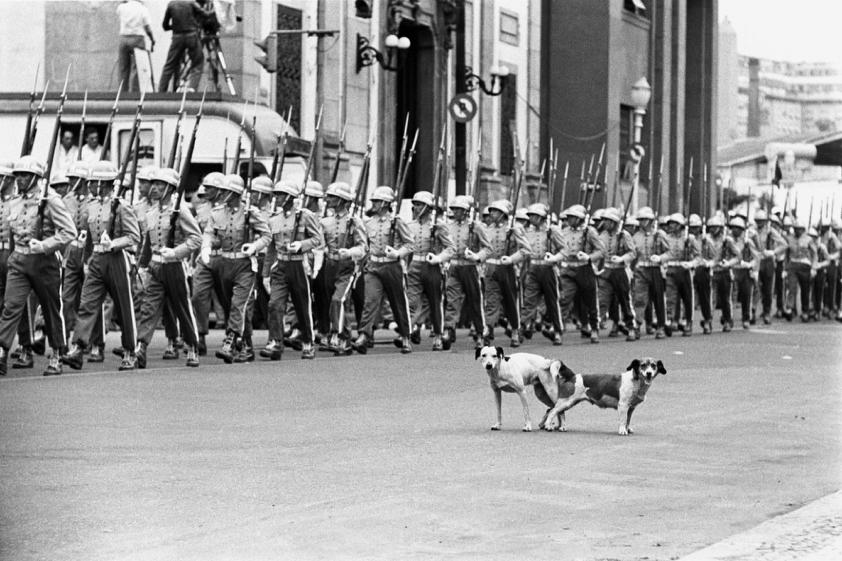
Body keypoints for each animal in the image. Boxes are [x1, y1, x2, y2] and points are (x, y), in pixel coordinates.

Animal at [540, 358, 668, 434]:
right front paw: (623, 430)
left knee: (552, 410)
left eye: (653, 366)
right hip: (566, 401)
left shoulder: (631, 408)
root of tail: (573, 376)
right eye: (643, 365)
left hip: (568, 403)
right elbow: (623, 420)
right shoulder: (623, 406)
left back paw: (553, 426)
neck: (635, 381)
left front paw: (627, 428)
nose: (649, 373)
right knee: (553, 411)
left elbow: (628, 420)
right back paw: (548, 425)